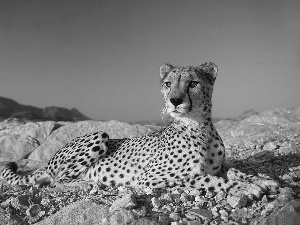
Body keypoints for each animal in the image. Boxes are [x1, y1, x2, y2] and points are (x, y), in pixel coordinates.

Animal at [0, 62, 278, 197]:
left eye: (193, 83)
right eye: (168, 84)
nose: (174, 101)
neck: (199, 127)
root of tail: (50, 159)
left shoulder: (220, 165)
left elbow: (234, 171)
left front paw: (261, 180)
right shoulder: (150, 178)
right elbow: (207, 179)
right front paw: (246, 188)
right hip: (99, 135)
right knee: (55, 181)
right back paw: (89, 184)